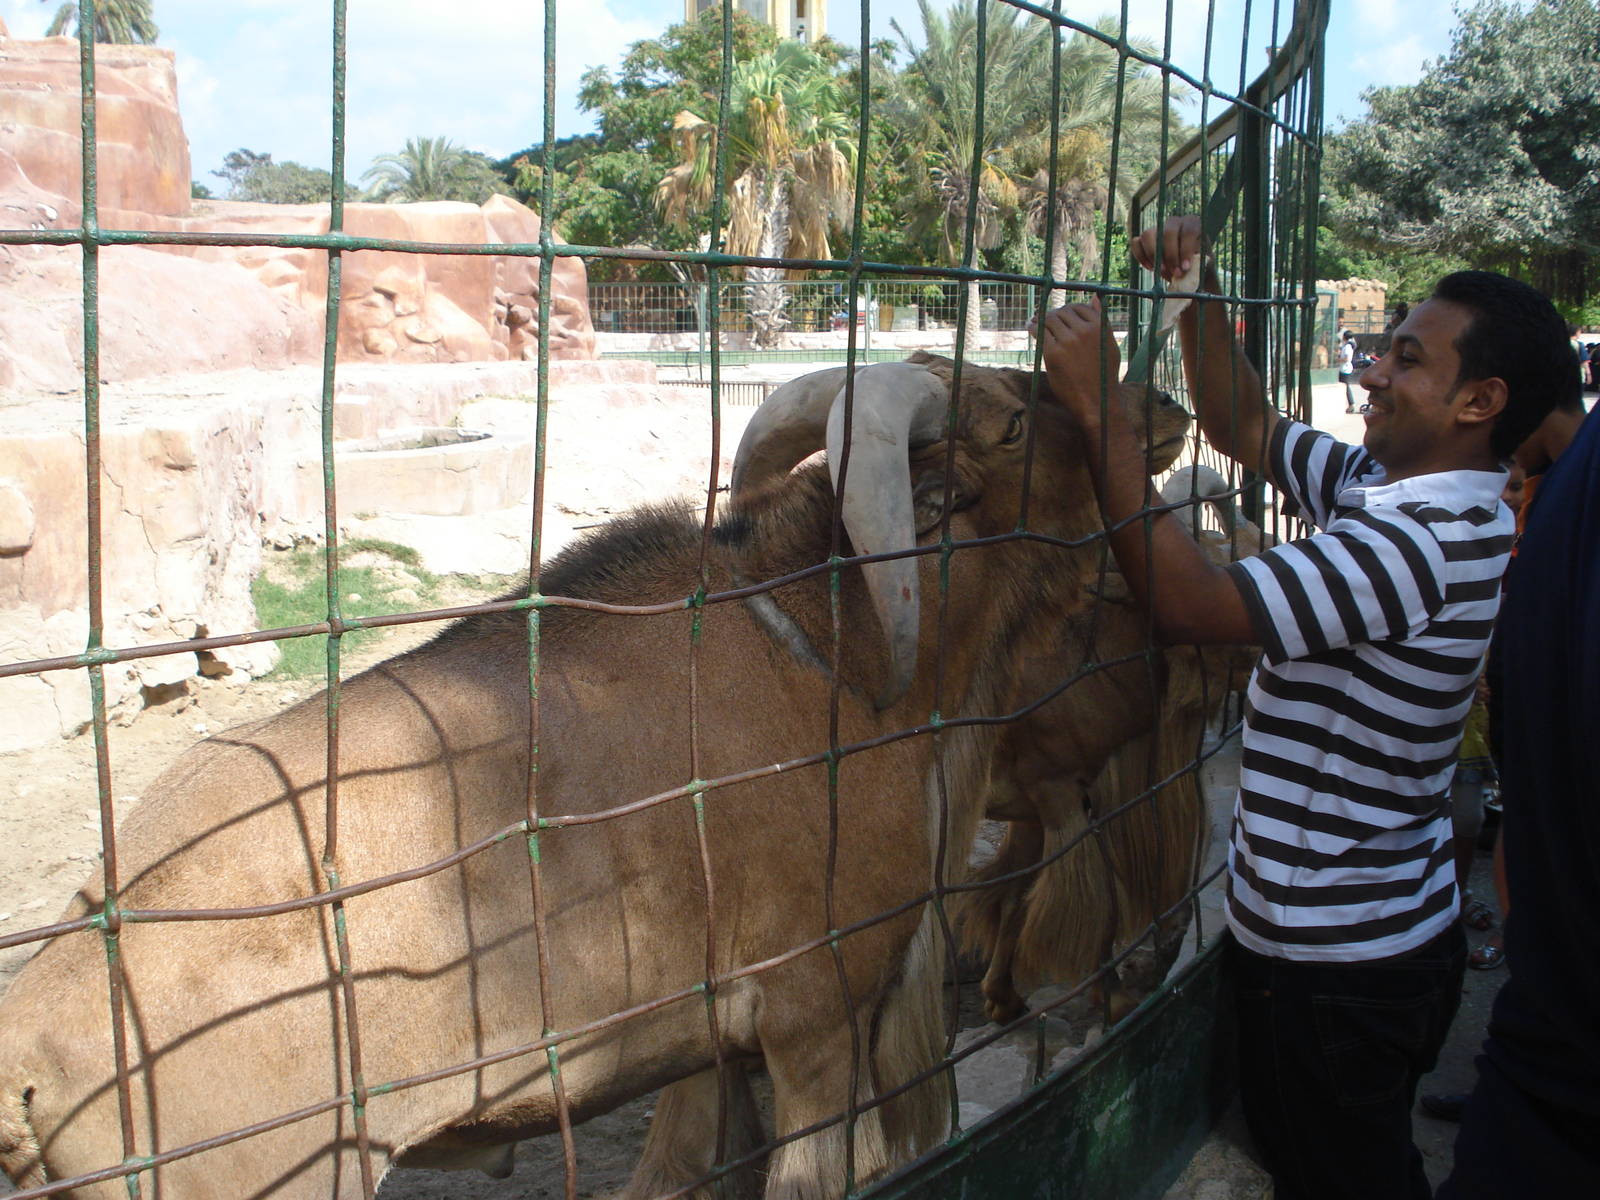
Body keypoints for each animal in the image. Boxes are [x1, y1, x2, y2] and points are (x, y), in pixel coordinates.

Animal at [0, 354, 1190, 1199]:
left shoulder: (708, 1048)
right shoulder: (817, 1019)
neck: (832, 658)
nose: (1162, 414)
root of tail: (31, 1045)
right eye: (1015, 422)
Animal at [956, 463, 1264, 1027]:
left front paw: (1002, 997)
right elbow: (1093, 902)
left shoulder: (1033, 812)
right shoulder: (1056, 791)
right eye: (1225, 578)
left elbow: (1015, 897)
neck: (1089, 655)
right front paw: (1114, 998)